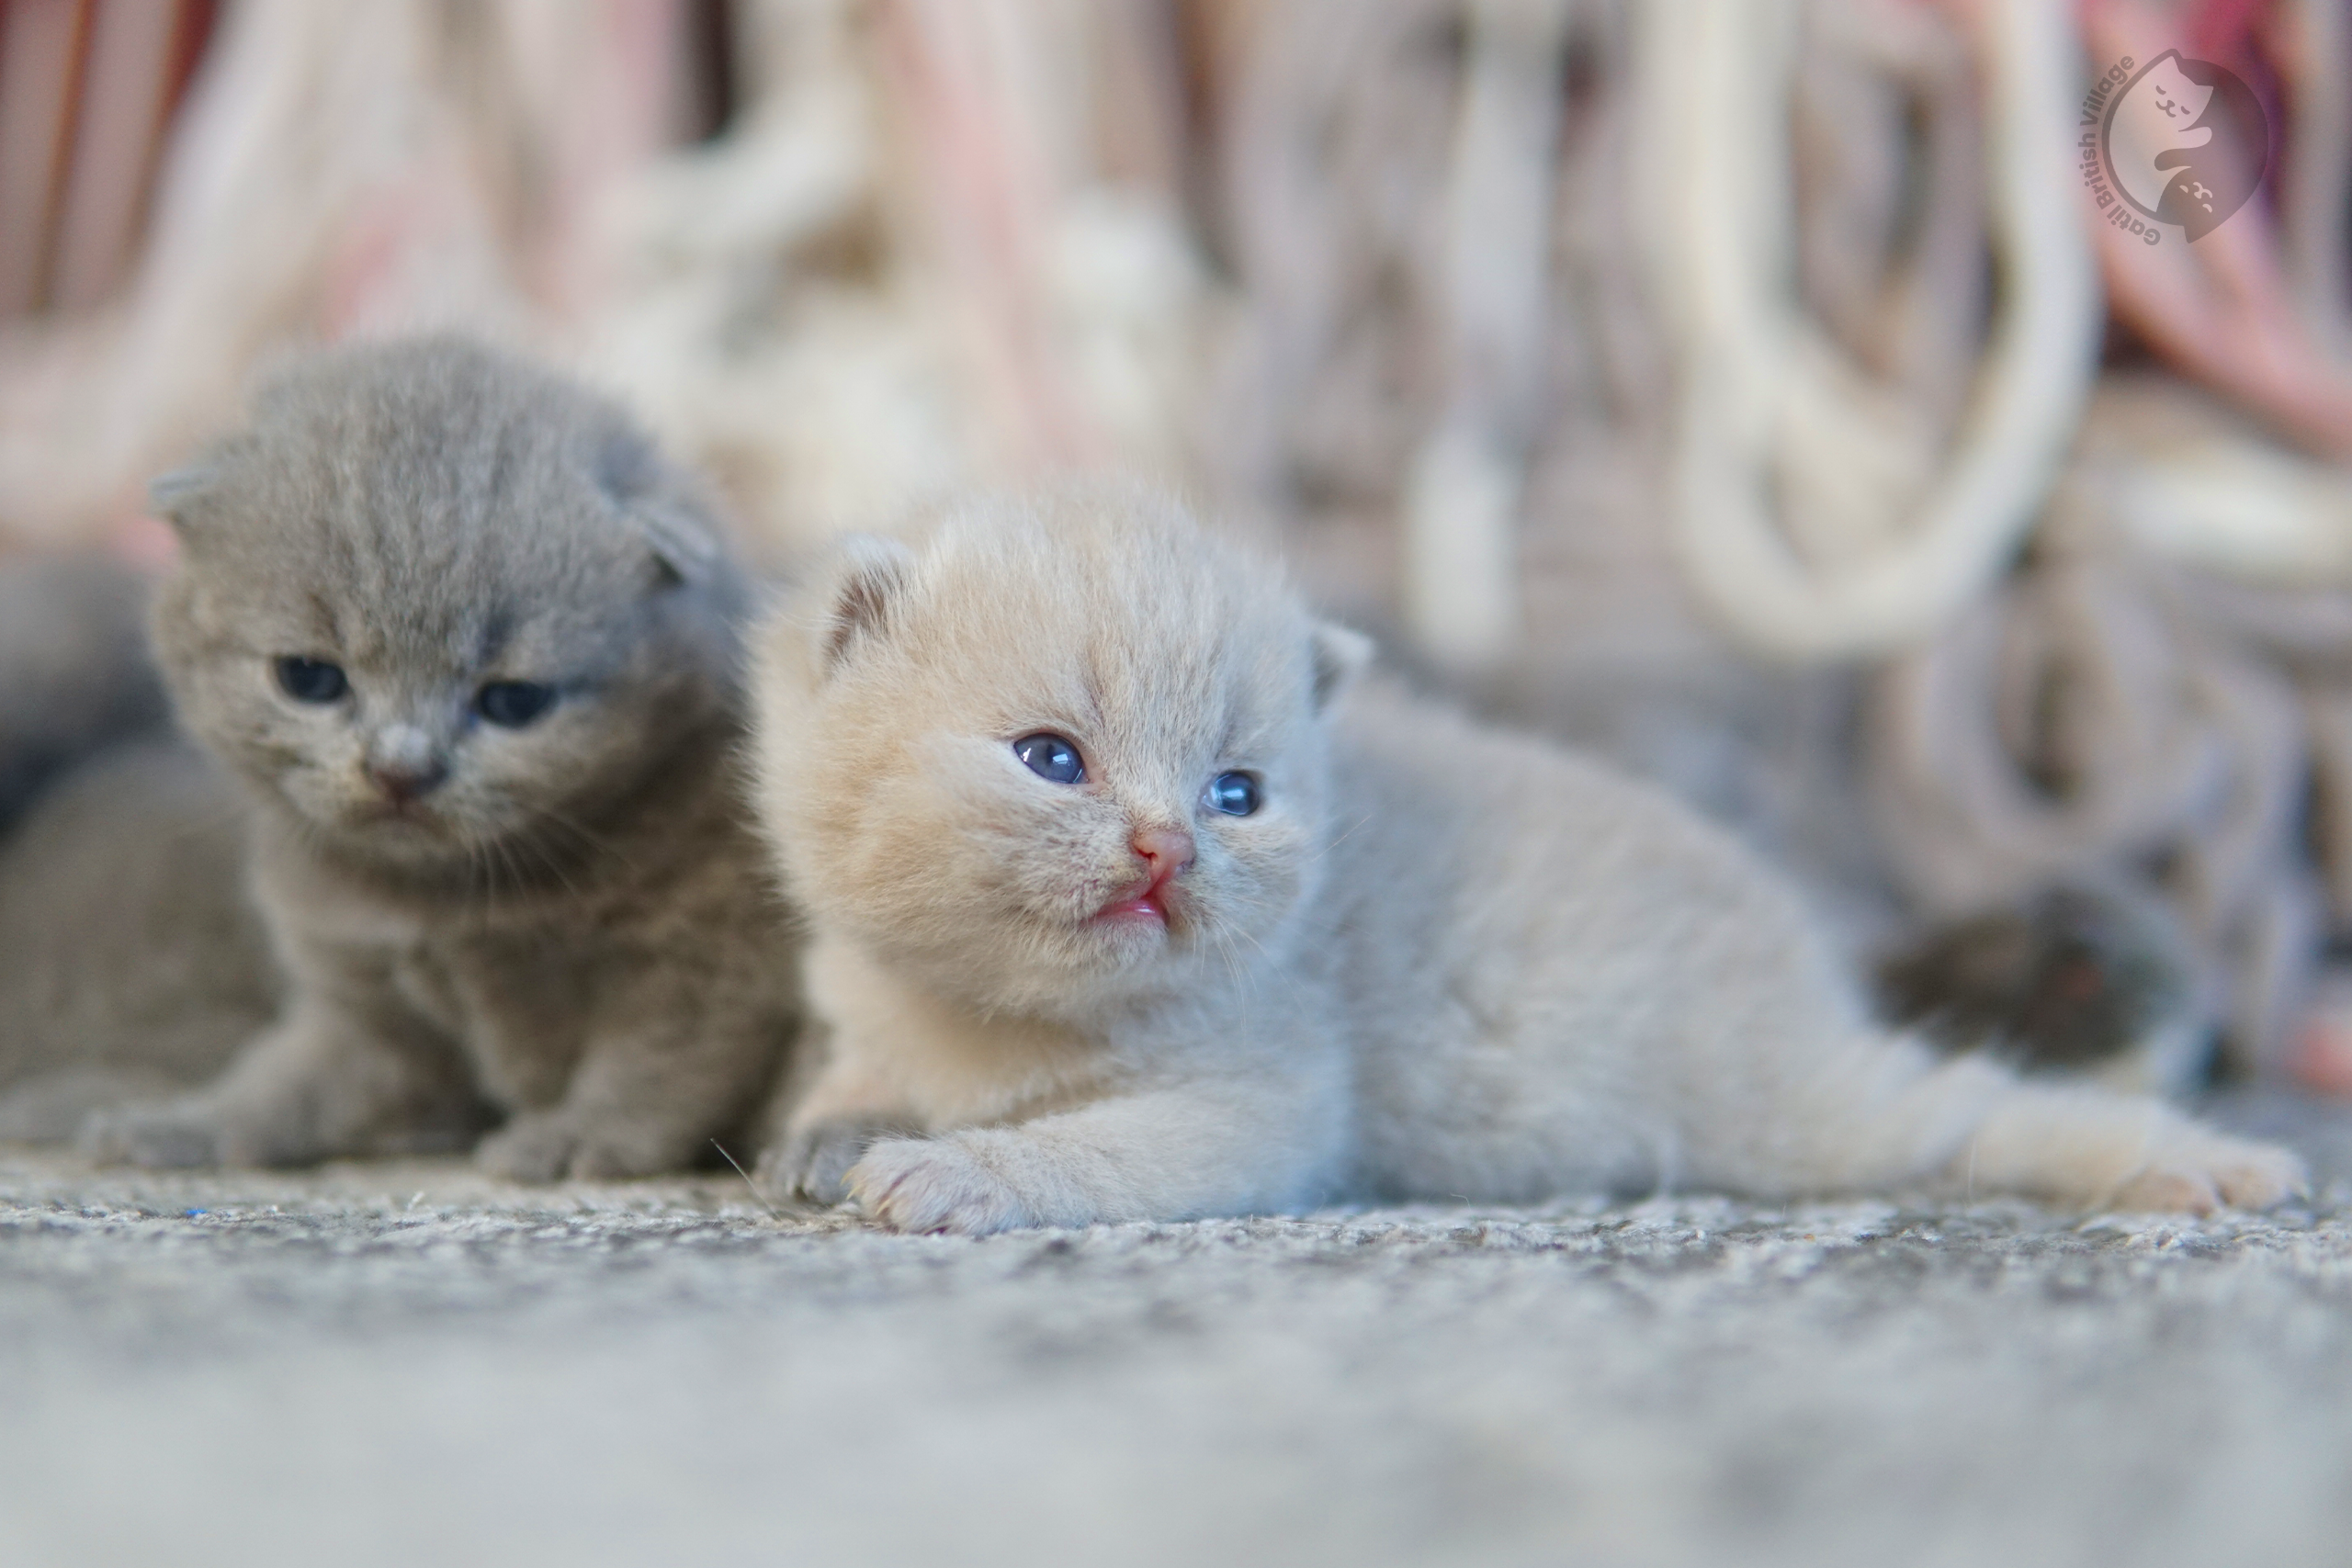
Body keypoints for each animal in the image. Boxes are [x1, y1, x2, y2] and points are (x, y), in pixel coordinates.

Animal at [742, 484, 2304, 1232]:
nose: (1166, 843)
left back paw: (2199, 1166)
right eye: (1054, 758)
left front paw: (958, 1173)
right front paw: (830, 1135)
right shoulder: (861, 999)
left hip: (1773, 1097)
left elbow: (1104, 1146)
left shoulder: (1272, 1090)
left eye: (1238, 790)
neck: (983, 1023)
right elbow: (841, 1080)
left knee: (1966, 1108)